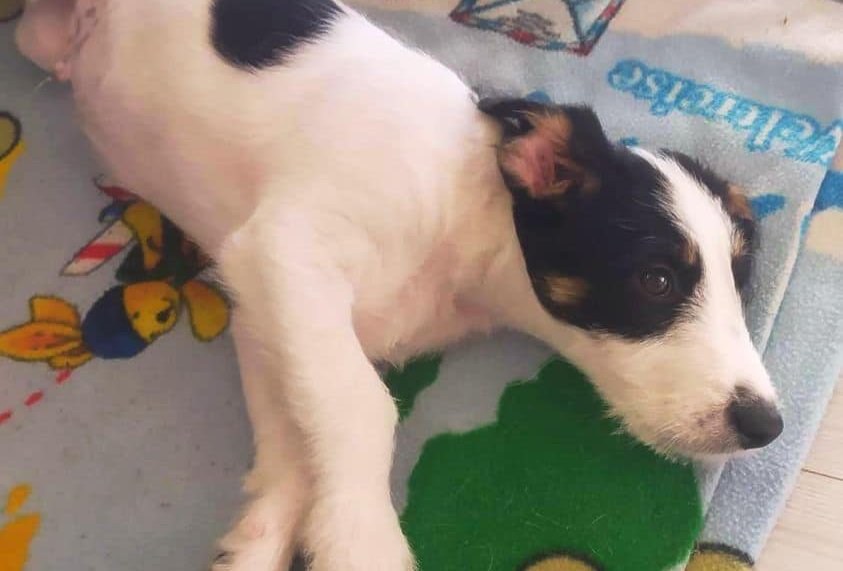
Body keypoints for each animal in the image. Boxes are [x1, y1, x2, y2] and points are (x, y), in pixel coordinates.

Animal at [16, 1, 783, 570]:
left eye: (739, 287)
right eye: (656, 279)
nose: (767, 426)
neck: (467, 214)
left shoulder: (269, 307)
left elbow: (300, 433)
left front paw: (263, 536)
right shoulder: (284, 250)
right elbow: (361, 407)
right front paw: (361, 539)